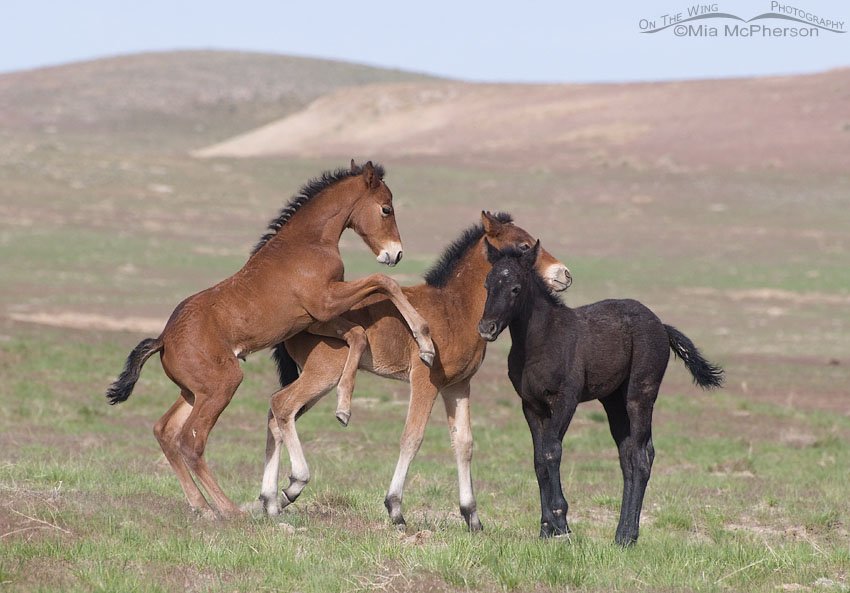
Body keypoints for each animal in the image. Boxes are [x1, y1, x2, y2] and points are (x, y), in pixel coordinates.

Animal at [105, 161, 435, 519]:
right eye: (386, 208)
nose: (395, 253)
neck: (309, 242)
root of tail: (164, 338)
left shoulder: (320, 318)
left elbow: (358, 333)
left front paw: (344, 405)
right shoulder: (325, 302)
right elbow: (383, 281)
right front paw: (426, 344)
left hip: (193, 392)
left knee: (165, 431)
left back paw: (202, 506)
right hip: (223, 385)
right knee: (191, 442)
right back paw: (229, 510)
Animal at [258, 212, 572, 531]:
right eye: (524, 246)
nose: (564, 274)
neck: (455, 307)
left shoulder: (458, 386)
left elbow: (464, 443)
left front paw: (472, 516)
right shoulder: (425, 380)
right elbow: (412, 437)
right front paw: (395, 508)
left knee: (276, 413)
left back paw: (270, 500)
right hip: (325, 370)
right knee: (282, 404)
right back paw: (291, 487)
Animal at [477, 241, 724, 544]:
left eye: (515, 288)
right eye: (487, 285)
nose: (486, 328)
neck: (541, 342)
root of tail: (661, 325)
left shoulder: (566, 400)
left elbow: (552, 451)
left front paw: (561, 523)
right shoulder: (531, 405)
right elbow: (538, 459)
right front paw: (546, 528)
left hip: (640, 396)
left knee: (640, 458)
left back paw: (627, 536)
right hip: (614, 402)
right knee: (629, 456)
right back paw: (622, 533)